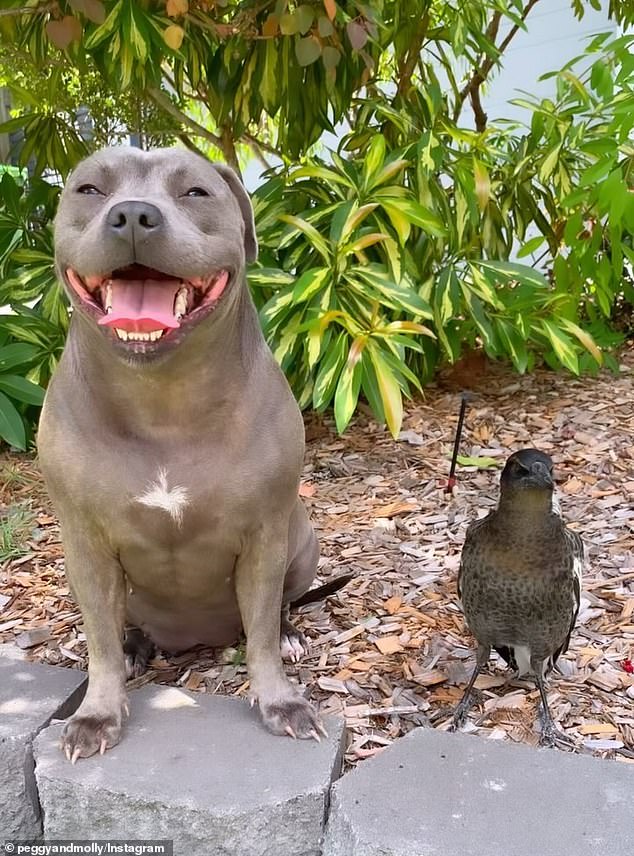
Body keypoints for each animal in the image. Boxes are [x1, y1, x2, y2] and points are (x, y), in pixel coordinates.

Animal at [36, 147, 320, 764]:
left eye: (195, 192)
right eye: (89, 189)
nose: (133, 215)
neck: (162, 398)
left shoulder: (265, 532)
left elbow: (261, 631)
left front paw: (279, 701)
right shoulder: (83, 541)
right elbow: (98, 638)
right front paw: (97, 712)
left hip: (301, 539)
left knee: (280, 608)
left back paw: (290, 633)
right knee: (123, 625)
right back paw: (136, 645)